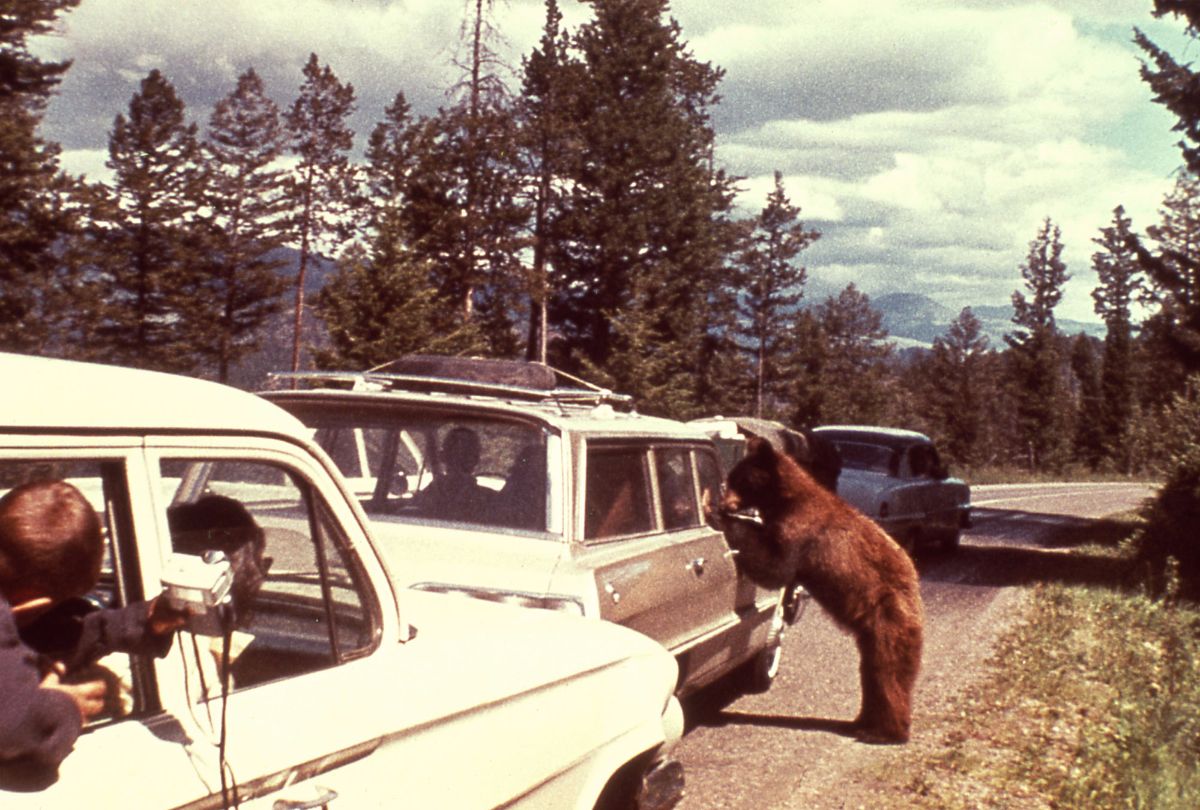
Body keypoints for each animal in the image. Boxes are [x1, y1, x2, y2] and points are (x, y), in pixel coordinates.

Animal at [714, 436, 924, 743]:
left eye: (739, 479)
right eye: (730, 477)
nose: (723, 503)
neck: (783, 500)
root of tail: (916, 595)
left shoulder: (800, 532)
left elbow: (774, 569)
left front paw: (732, 523)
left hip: (888, 618)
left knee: (887, 672)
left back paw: (884, 732)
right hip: (871, 634)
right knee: (871, 673)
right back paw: (861, 722)